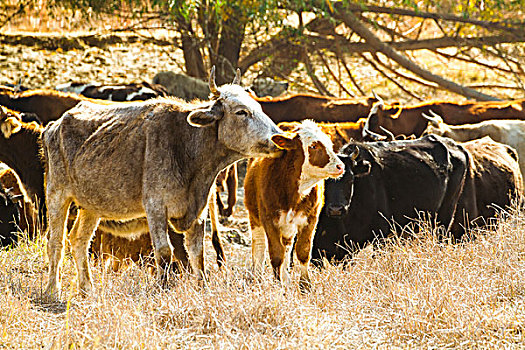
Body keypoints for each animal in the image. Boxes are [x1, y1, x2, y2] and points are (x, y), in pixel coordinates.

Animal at [42, 68, 282, 298]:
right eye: (241, 112)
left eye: (259, 107)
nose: (277, 137)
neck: (186, 148)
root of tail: (54, 125)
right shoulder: (155, 208)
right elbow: (164, 251)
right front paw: (163, 288)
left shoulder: (198, 211)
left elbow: (197, 254)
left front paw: (202, 287)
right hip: (57, 195)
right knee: (56, 241)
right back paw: (52, 289)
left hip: (91, 206)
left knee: (79, 240)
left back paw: (86, 289)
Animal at [245, 120, 344, 290]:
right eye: (313, 146)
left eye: (330, 144)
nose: (340, 166)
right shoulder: (269, 219)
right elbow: (275, 254)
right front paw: (277, 285)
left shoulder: (310, 219)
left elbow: (303, 251)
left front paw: (305, 285)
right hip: (255, 217)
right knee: (259, 246)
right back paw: (257, 279)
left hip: (288, 227)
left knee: (287, 247)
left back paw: (286, 279)